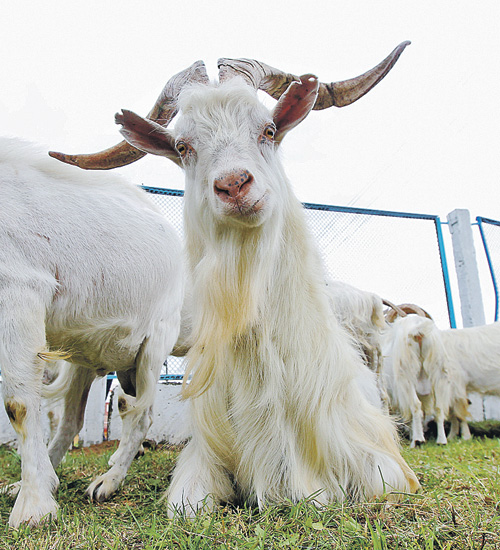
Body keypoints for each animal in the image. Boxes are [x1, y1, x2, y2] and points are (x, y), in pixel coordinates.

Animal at [0, 136, 184, 528]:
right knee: (74, 419)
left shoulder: (18, 292)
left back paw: (107, 483)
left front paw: (33, 508)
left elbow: (18, 404)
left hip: (153, 345)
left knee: (138, 414)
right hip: (89, 357)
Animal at [380, 312, 470, 446]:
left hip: (407, 374)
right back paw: (441, 440)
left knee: (415, 405)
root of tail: (418, 330)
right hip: (439, 371)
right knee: (439, 407)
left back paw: (418, 440)